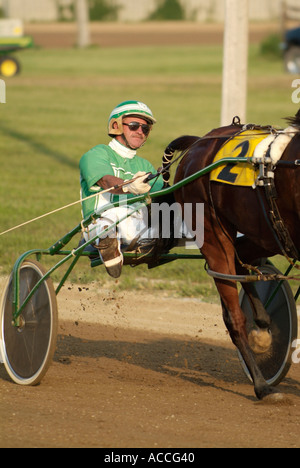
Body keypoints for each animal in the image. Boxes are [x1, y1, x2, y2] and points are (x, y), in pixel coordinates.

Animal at [163, 111, 300, 400]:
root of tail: (199, 143)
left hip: (268, 234)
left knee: (241, 257)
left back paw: (263, 320)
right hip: (213, 233)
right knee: (233, 315)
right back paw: (262, 385)